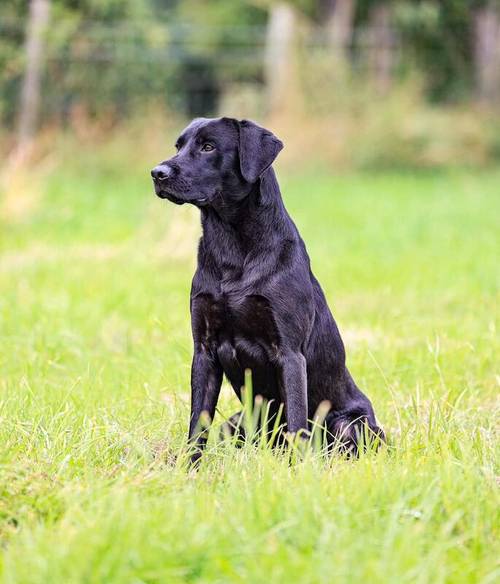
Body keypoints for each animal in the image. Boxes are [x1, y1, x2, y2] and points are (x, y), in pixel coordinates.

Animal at [151, 117, 382, 460]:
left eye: (208, 146)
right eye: (178, 146)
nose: (157, 173)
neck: (232, 247)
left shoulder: (289, 352)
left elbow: (297, 423)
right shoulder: (203, 349)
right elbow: (198, 422)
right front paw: (188, 467)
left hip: (351, 424)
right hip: (234, 423)